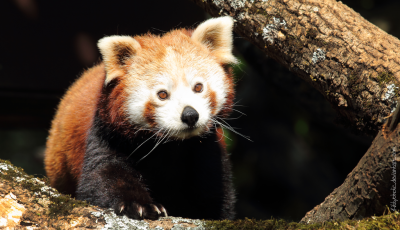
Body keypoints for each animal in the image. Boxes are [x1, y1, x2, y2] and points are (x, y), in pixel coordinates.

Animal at [43, 16, 238, 219]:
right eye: (162, 94)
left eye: (198, 87)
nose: (190, 115)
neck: (170, 146)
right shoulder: (107, 136)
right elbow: (103, 176)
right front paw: (139, 205)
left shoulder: (205, 148)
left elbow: (215, 192)